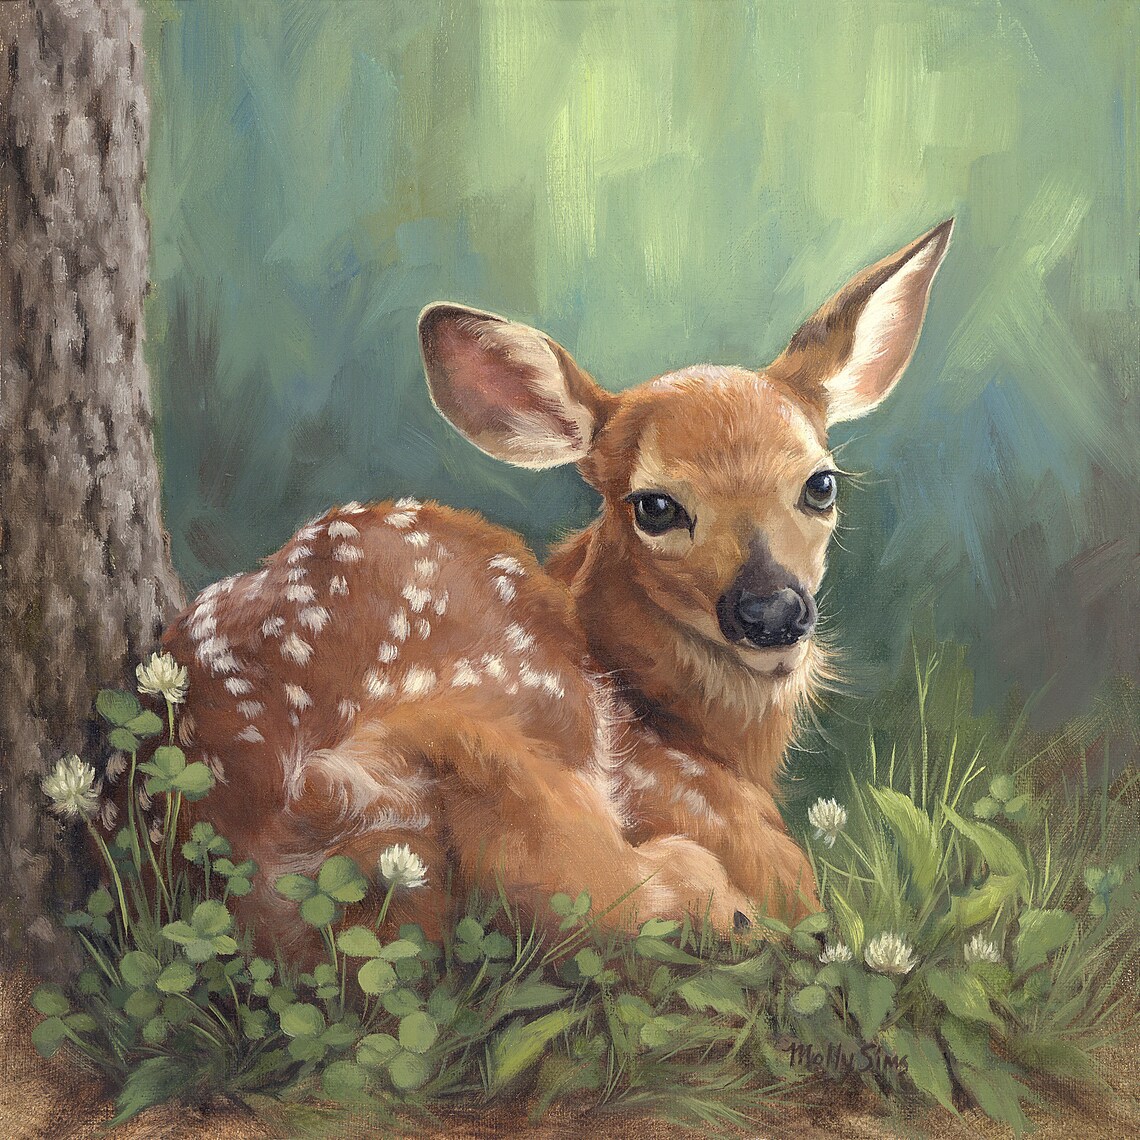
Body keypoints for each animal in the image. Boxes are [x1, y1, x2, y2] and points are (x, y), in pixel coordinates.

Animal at [154, 220, 953, 959]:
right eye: (654, 506)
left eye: (821, 484)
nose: (773, 612)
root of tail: (318, 792)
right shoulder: (708, 810)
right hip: (532, 718)